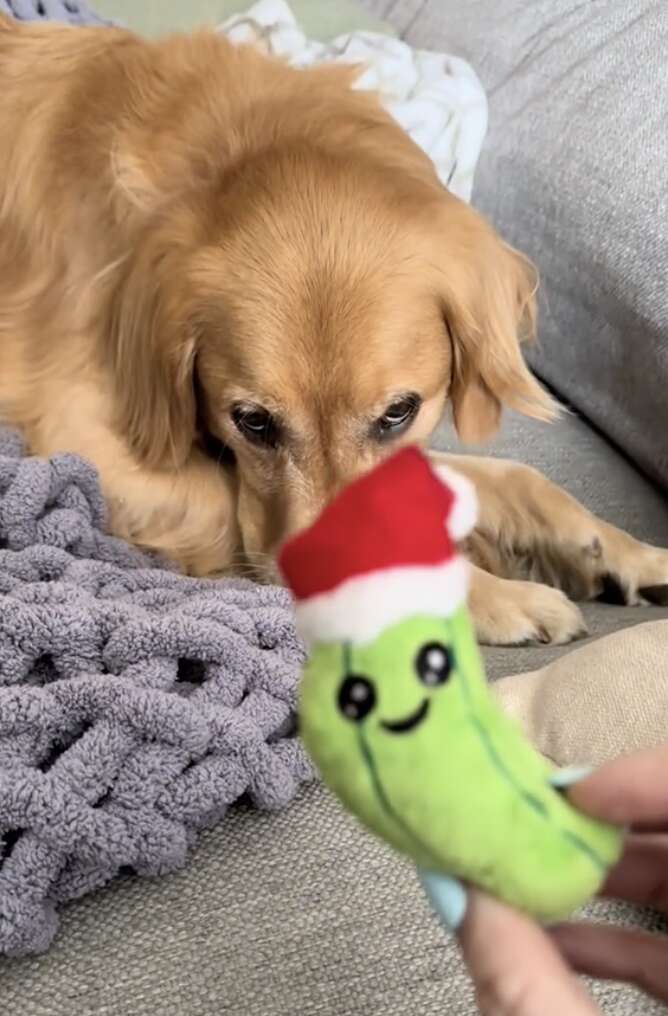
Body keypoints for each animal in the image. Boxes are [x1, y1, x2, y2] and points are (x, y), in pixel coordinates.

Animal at [1, 15, 666, 642]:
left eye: (398, 412)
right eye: (253, 422)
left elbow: (514, 477)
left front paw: (621, 550)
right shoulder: (89, 442)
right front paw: (498, 591)